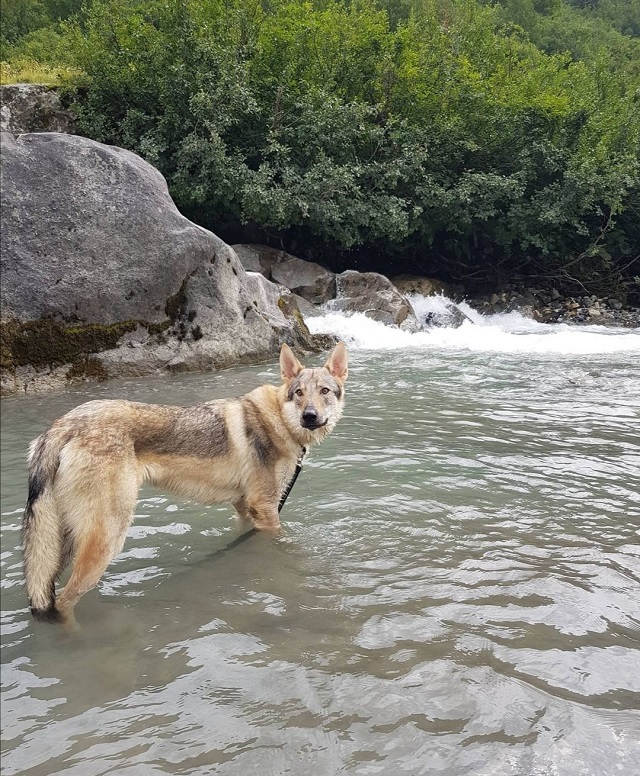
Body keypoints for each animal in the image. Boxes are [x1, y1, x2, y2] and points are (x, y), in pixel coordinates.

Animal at [22, 342, 350, 620]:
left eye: (324, 391)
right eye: (299, 393)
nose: (310, 416)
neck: (280, 419)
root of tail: (62, 425)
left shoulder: (245, 509)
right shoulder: (266, 509)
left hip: (63, 542)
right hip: (107, 539)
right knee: (65, 600)